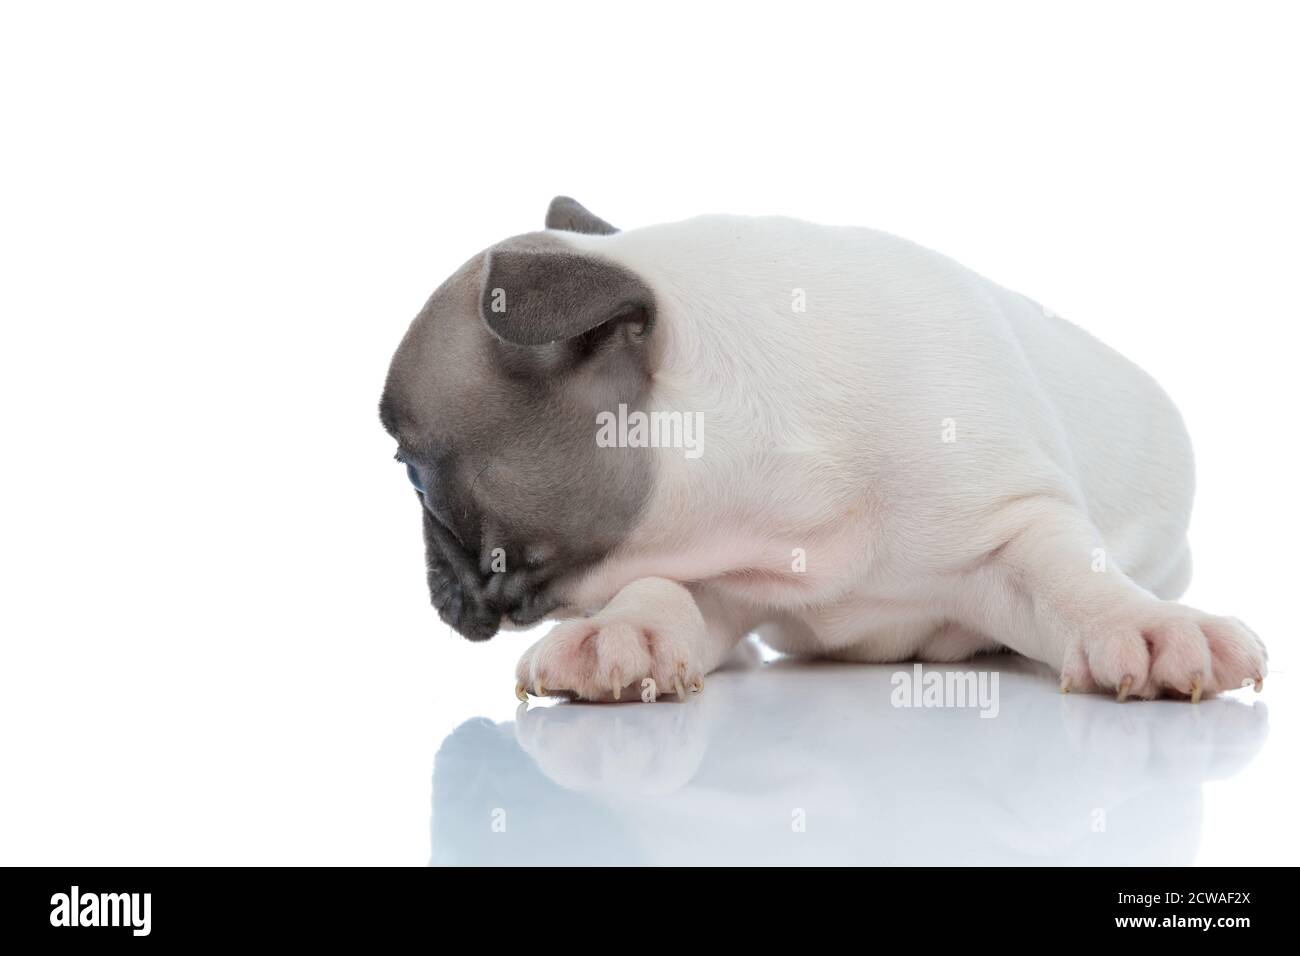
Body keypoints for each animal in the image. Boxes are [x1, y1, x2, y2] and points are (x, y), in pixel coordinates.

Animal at [379, 196, 1268, 702]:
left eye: (414, 478)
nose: (435, 589)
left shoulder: (1011, 521)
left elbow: (1071, 577)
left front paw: (1146, 625)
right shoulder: (718, 571)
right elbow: (659, 590)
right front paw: (621, 633)